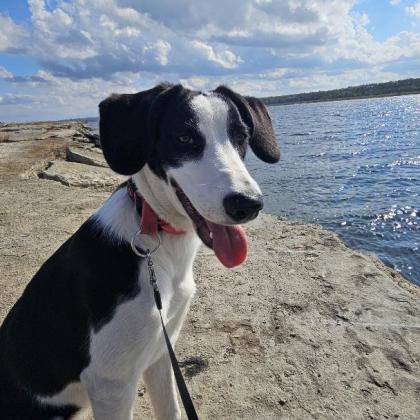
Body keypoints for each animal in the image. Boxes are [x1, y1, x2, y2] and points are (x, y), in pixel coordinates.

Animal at [0, 84, 280, 420]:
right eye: (184, 138)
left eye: (242, 137)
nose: (248, 204)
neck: (156, 233)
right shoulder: (111, 383)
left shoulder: (160, 352)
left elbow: (171, 410)